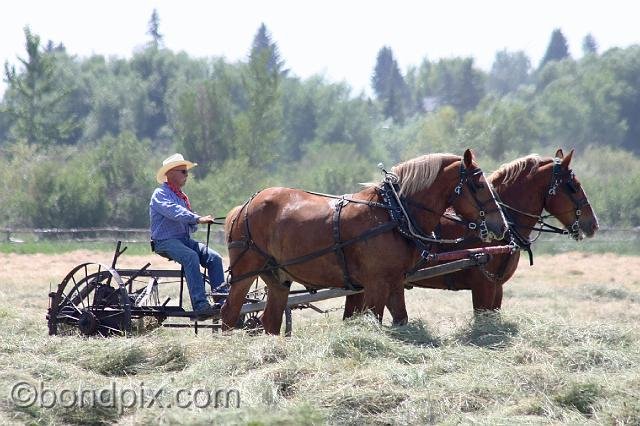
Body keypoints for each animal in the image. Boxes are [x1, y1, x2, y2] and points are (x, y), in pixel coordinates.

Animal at [222, 149, 508, 332]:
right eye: (479, 185)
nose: (502, 225)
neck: (395, 213)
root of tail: (243, 207)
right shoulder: (375, 284)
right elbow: (374, 318)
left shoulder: (394, 281)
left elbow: (401, 318)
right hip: (245, 271)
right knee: (229, 313)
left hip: (277, 276)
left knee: (270, 320)